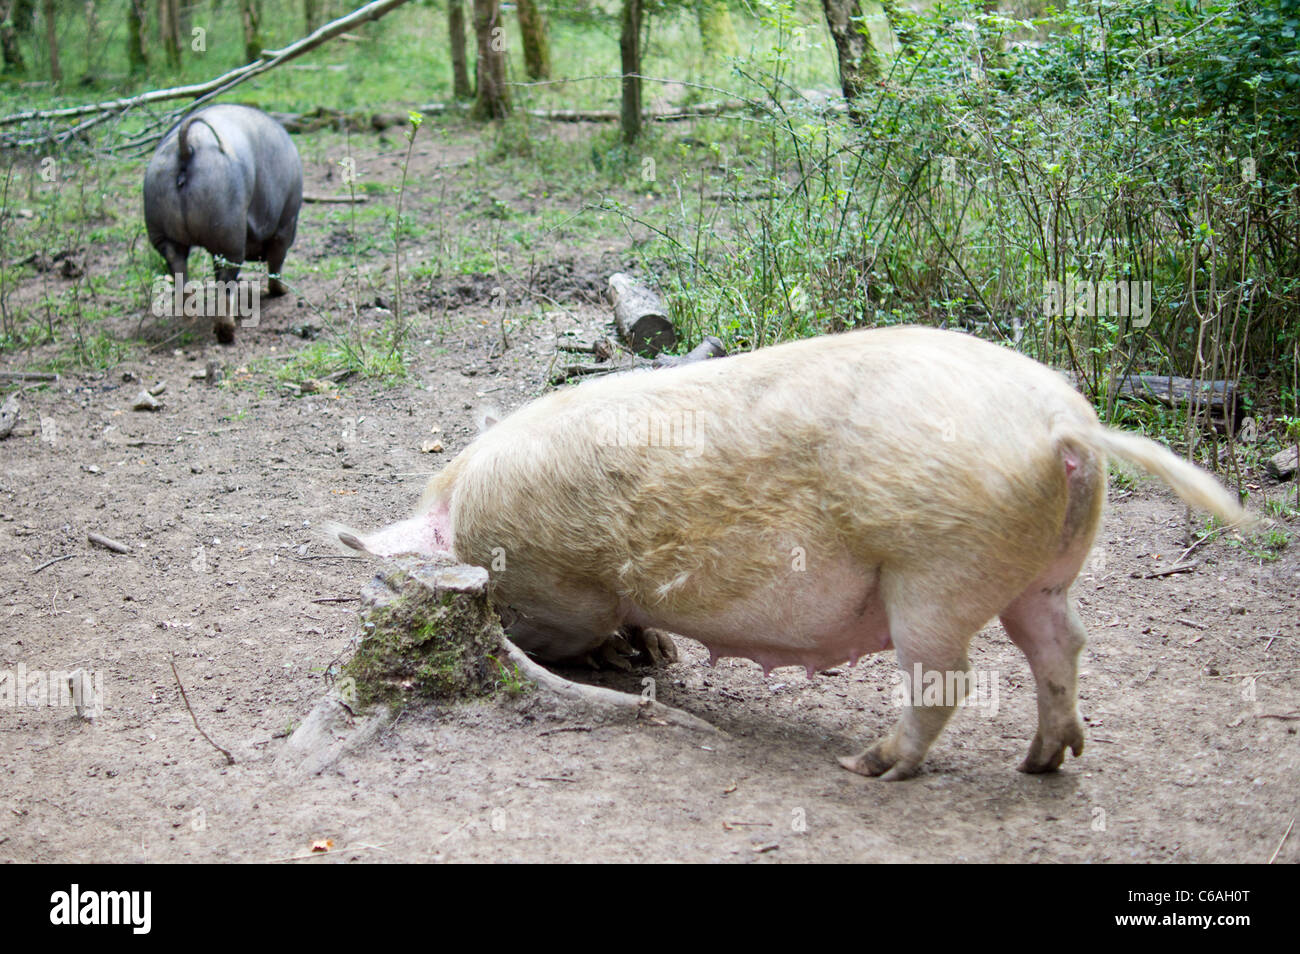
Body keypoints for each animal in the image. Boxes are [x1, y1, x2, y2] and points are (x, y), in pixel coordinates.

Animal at [330, 324, 1242, 779]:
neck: (461, 511)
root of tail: (1067, 426)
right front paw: (656, 650)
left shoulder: (560, 593)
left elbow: (569, 632)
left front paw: (621, 656)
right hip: (1040, 578)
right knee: (1062, 646)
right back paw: (1041, 762)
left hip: (935, 575)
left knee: (948, 679)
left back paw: (866, 765)